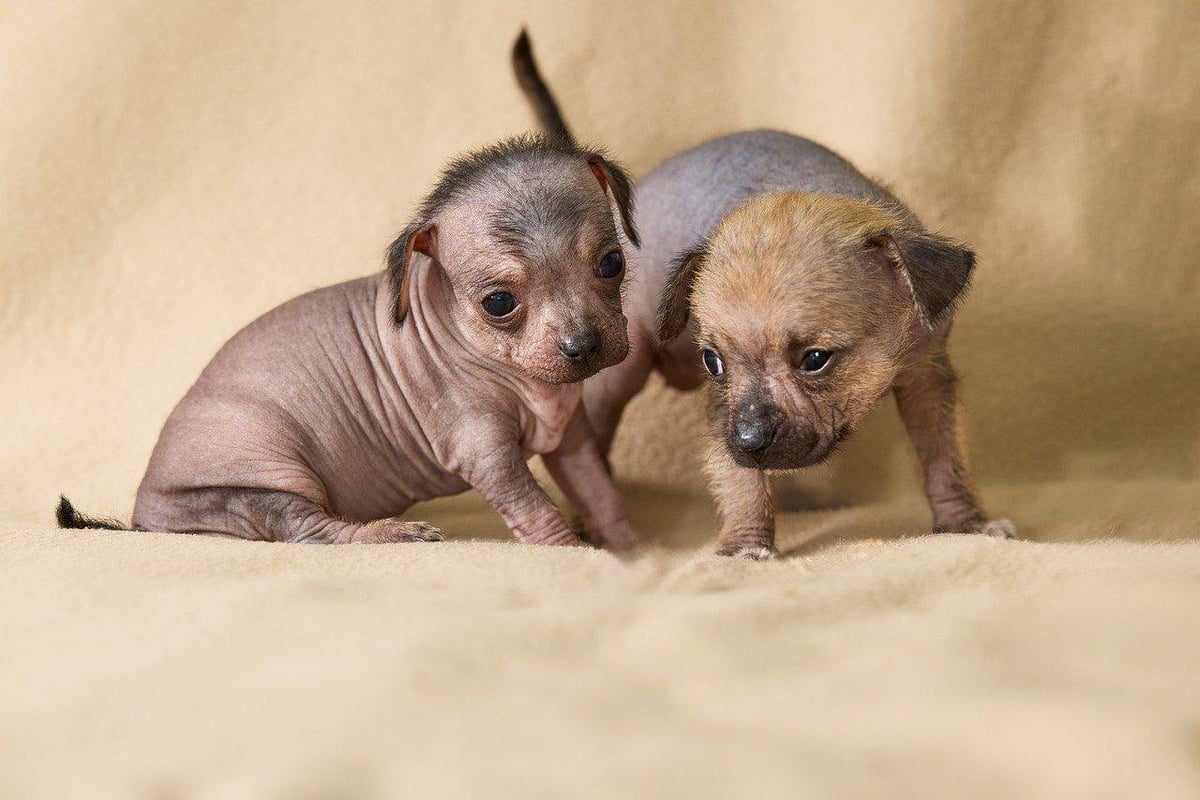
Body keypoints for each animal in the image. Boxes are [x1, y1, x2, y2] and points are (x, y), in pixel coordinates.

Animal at [59, 127, 641, 549]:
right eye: (498, 303)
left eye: (612, 264)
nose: (584, 347)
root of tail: (143, 520)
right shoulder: (485, 452)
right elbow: (536, 511)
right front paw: (571, 555)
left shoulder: (570, 434)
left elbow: (600, 493)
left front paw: (628, 549)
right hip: (258, 485)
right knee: (310, 532)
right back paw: (389, 534)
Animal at [513, 31, 1013, 559]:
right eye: (712, 361)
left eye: (815, 359)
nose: (750, 440)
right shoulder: (724, 407)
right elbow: (739, 479)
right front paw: (747, 544)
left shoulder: (928, 378)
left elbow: (947, 456)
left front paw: (964, 524)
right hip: (621, 368)